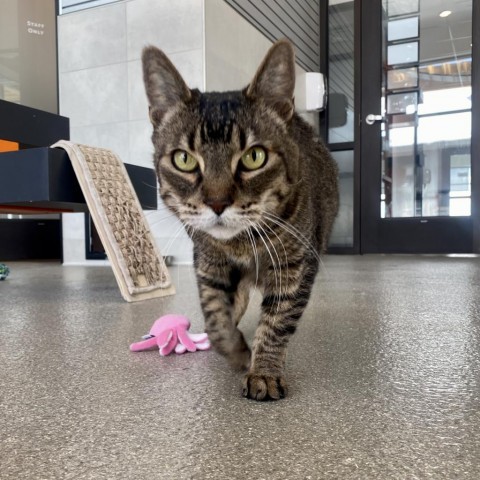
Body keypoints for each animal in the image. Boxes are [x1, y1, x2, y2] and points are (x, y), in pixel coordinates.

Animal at [142, 40, 338, 402]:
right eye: (184, 159)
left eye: (254, 157)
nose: (217, 203)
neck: (241, 244)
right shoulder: (208, 264)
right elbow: (215, 316)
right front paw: (234, 351)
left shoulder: (295, 268)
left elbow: (277, 323)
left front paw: (264, 372)